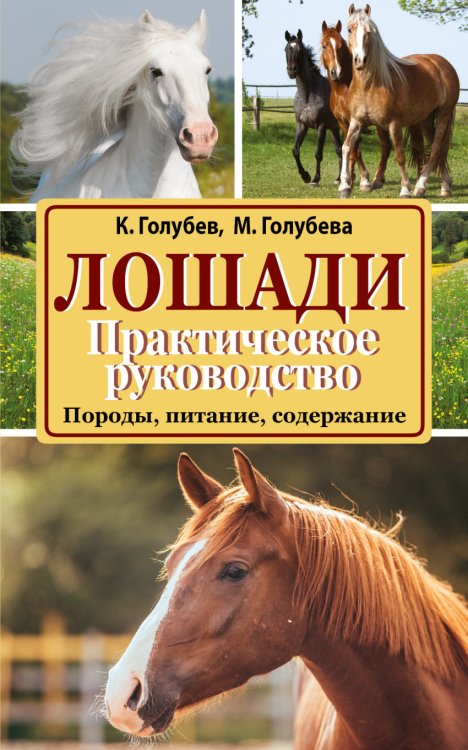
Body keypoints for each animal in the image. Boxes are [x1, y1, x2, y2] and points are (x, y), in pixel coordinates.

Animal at [284, 30, 342, 186]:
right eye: (286, 49)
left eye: (300, 50)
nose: (291, 71)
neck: (308, 95)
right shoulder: (302, 125)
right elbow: (295, 150)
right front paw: (305, 176)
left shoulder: (321, 126)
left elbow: (318, 154)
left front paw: (315, 179)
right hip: (334, 129)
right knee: (340, 150)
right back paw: (339, 179)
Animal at [339, 4, 459, 199]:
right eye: (349, 29)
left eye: (369, 32)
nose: (359, 60)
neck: (370, 85)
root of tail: (442, 63)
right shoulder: (356, 121)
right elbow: (347, 147)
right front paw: (344, 186)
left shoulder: (394, 124)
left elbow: (399, 155)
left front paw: (405, 190)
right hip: (426, 119)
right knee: (438, 149)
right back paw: (445, 186)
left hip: (443, 114)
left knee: (435, 149)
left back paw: (420, 186)